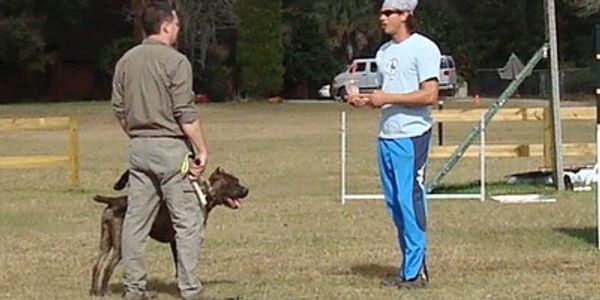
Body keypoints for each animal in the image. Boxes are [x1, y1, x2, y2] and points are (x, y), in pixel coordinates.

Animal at [89, 168, 248, 296]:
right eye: (233, 182)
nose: (247, 190)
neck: (205, 195)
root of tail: (113, 201)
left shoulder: (175, 242)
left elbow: (179, 266)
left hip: (105, 242)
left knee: (97, 265)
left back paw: (93, 291)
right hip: (120, 245)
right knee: (108, 267)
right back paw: (103, 292)